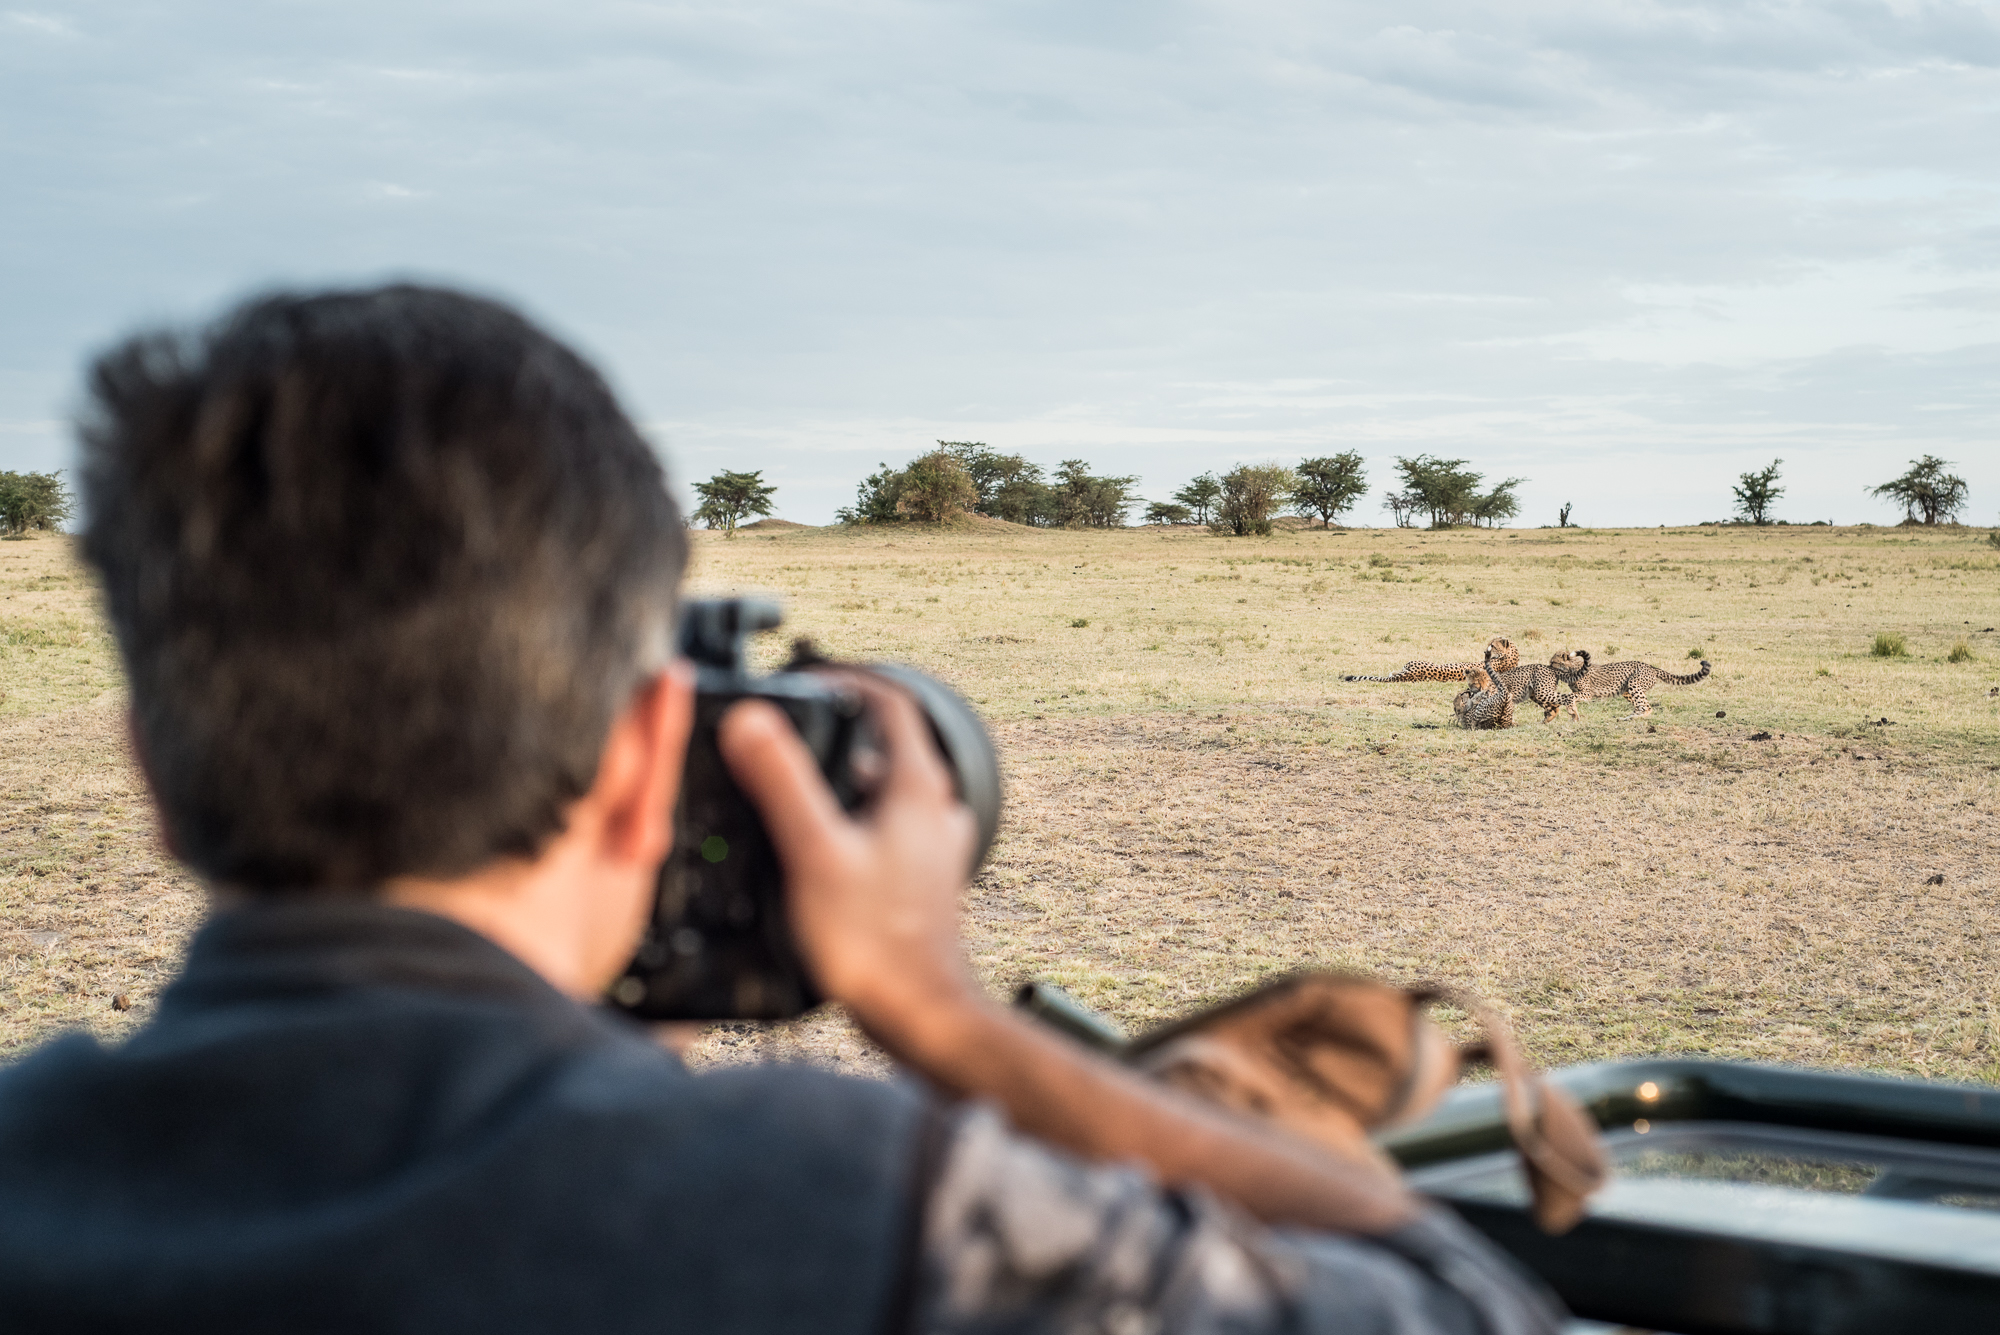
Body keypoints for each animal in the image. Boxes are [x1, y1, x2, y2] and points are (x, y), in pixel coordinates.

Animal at [1552, 647, 1712, 719]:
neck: (1571, 668)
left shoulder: (1587, 694)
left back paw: (1633, 718)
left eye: (1553, 661)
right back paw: (1627, 717)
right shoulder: (1579, 692)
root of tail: (1651, 667)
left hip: (1635, 684)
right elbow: (1571, 697)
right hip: (1627, 690)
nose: (1548, 665)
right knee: (1639, 706)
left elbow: (1571, 696)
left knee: (1647, 707)